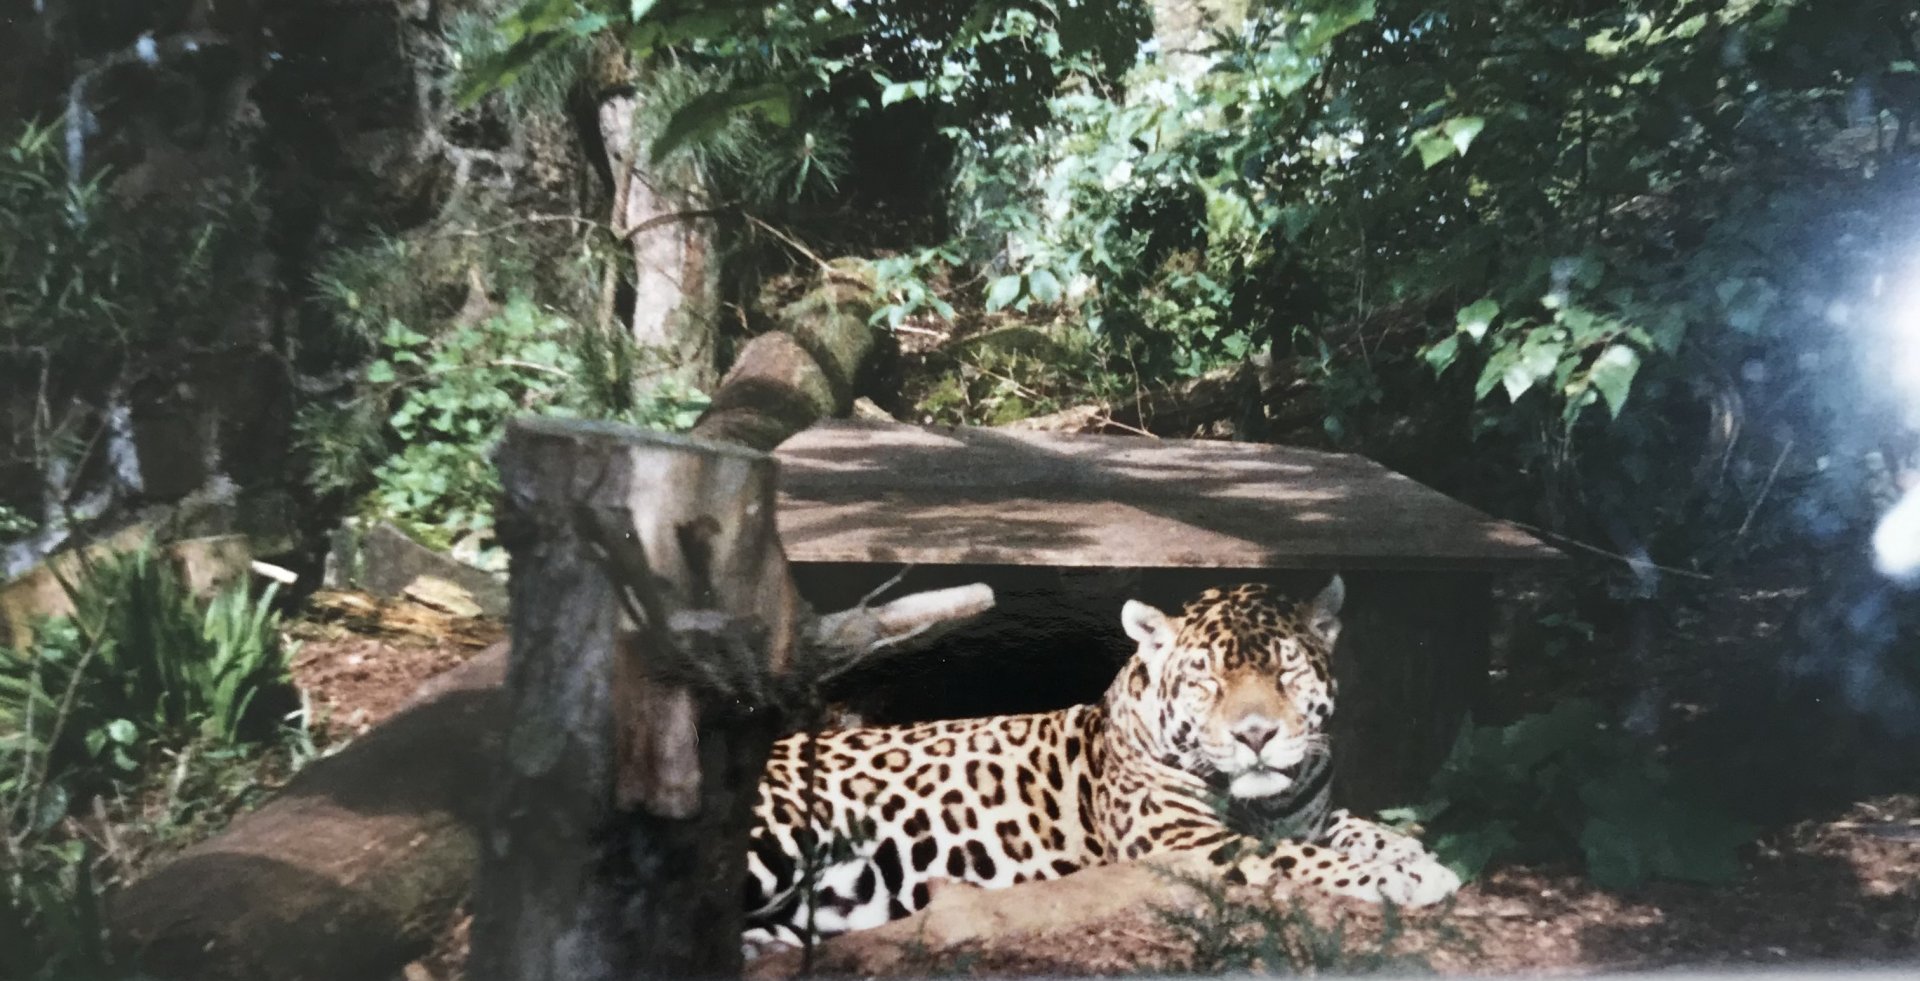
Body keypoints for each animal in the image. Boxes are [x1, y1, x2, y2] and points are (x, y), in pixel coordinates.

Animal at [743, 577, 1461, 946]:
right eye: (1206, 678)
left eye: (1286, 669)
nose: (1255, 734)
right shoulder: (1184, 842)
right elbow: (1296, 857)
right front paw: (1402, 875)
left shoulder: (1302, 812)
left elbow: (1351, 825)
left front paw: (1409, 850)